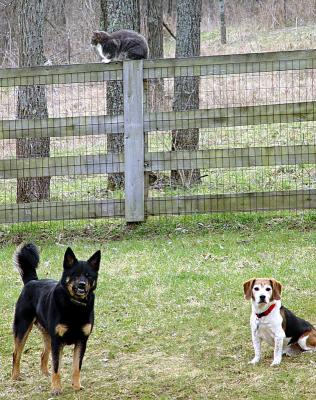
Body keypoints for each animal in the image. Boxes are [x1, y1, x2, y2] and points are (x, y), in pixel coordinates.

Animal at [11, 242, 100, 396]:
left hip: (48, 335)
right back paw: (15, 376)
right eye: (75, 274)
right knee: (16, 353)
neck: (74, 306)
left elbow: (76, 366)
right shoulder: (58, 341)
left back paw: (45, 374)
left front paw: (76, 386)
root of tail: (32, 281)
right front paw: (56, 388)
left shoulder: (82, 341)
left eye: (88, 275)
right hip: (22, 328)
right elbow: (57, 366)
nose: (82, 284)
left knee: (43, 354)